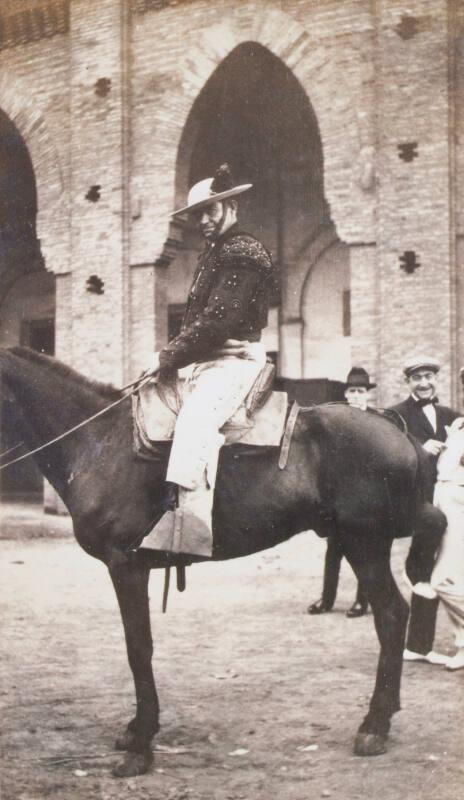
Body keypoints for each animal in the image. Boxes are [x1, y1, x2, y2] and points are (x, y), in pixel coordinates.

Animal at [0, 348, 444, 776]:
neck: (99, 441)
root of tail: (397, 430)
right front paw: (136, 731)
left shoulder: (126, 566)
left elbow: (138, 648)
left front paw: (141, 745)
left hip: (364, 543)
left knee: (391, 615)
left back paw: (374, 726)